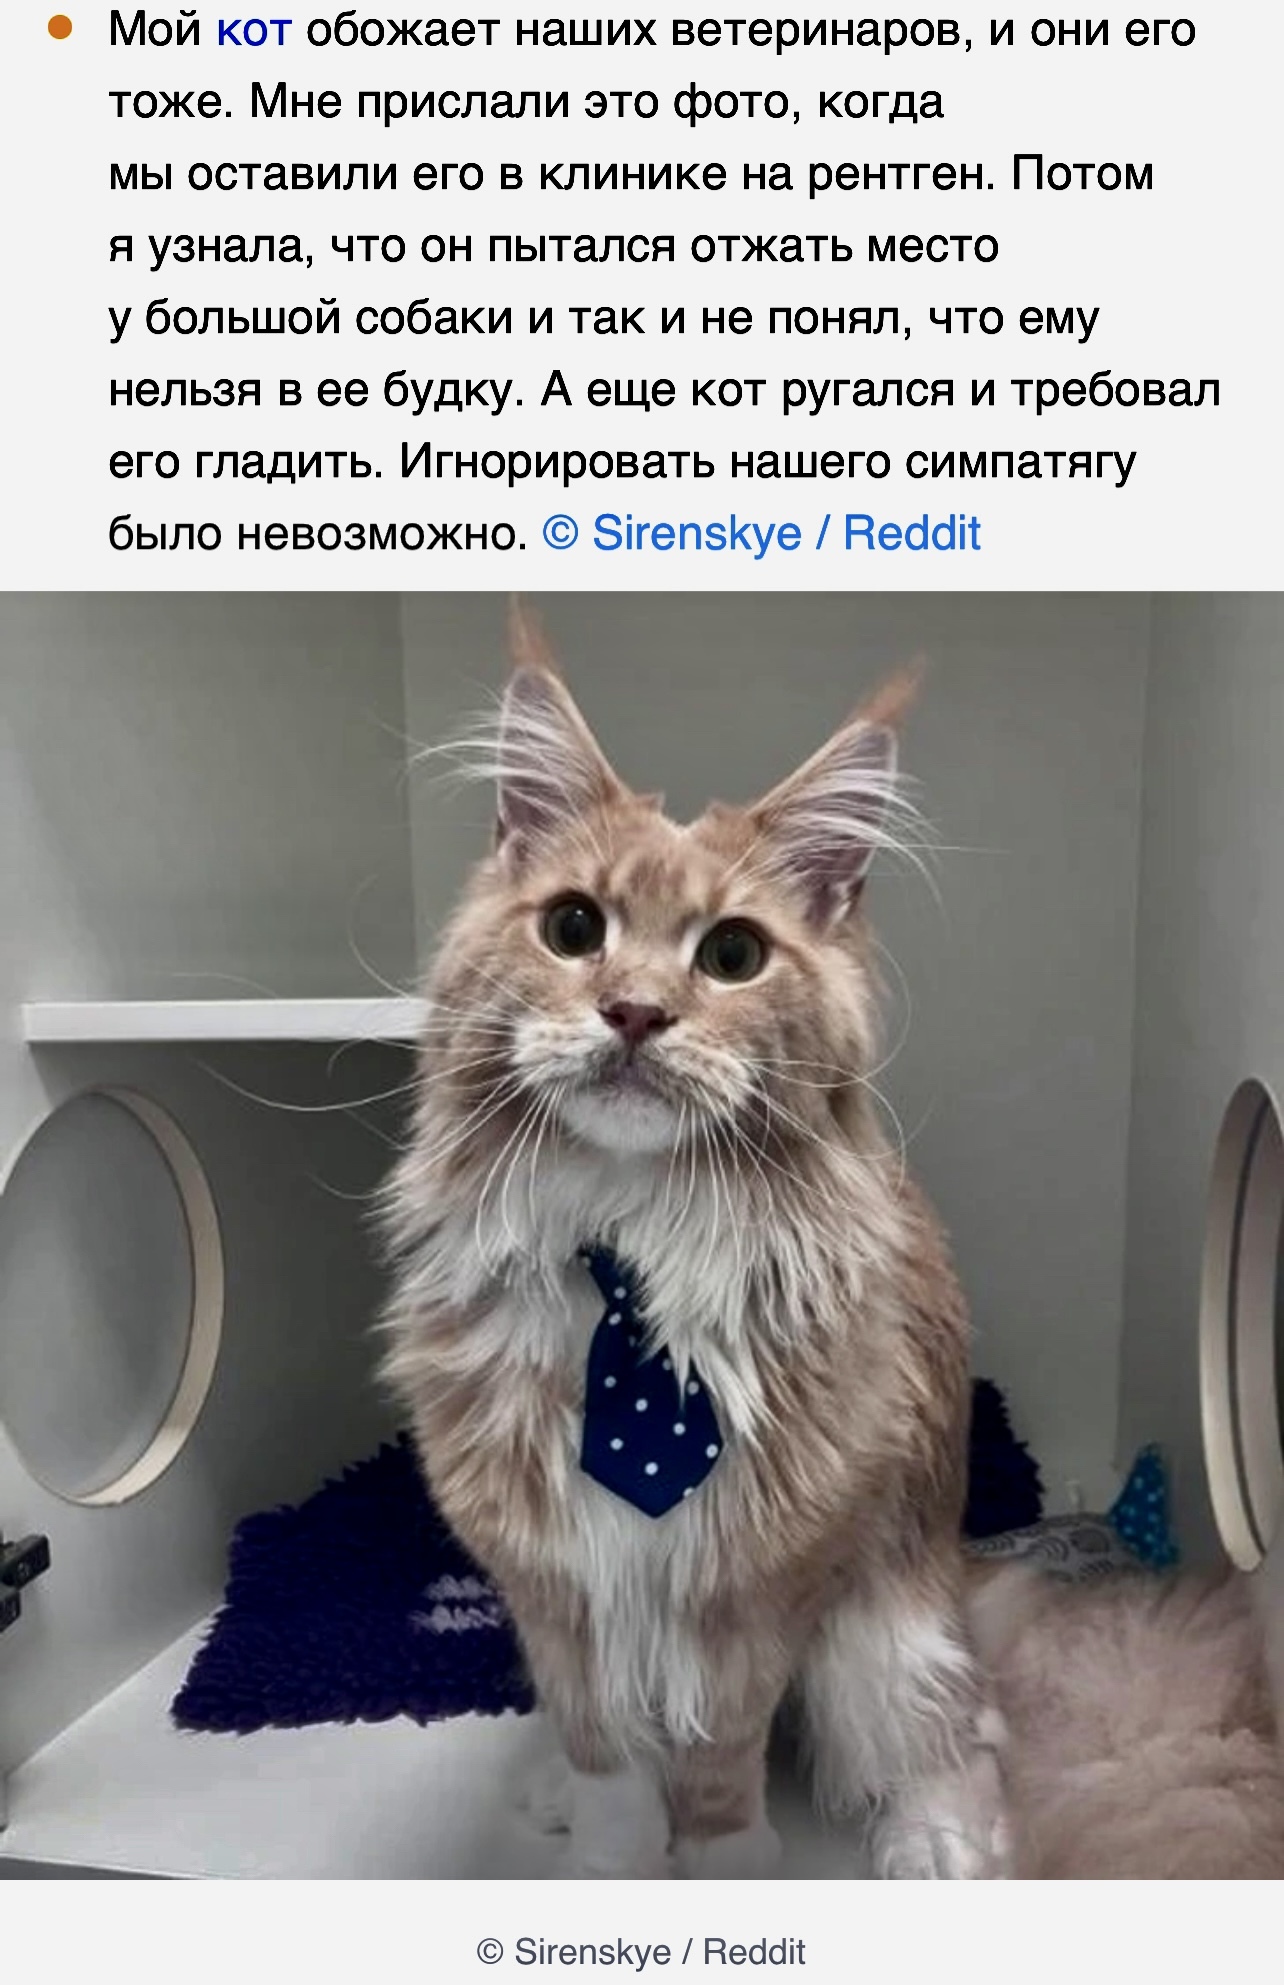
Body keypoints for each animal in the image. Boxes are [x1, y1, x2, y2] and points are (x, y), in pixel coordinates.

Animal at [380, 603, 1007, 1879]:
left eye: (731, 955)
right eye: (573, 927)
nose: (633, 1012)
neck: (630, 1258)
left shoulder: (753, 1586)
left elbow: (718, 1758)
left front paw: (725, 1861)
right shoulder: (559, 1583)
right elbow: (611, 1760)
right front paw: (608, 1858)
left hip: (888, 1637)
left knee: (948, 1736)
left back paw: (933, 1839)